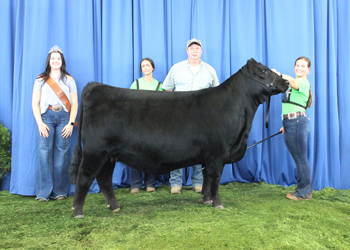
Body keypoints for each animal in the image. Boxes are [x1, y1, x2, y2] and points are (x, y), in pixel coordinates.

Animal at [69, 58, 288, 217]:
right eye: (263, 71)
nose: (285, 81)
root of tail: (96, 87)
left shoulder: (208, 155)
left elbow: (207, 178)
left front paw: (206, 200)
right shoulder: (218, 152)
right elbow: (216, 178)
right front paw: (217, 203)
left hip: (109, 155)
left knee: (104, 178)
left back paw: (114, 206)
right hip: (95, 151)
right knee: (85, 177)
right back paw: (78, 211)